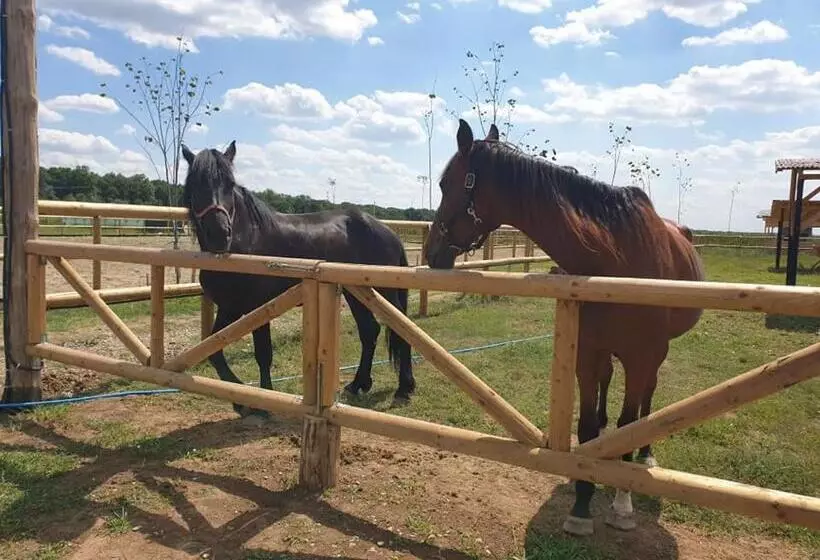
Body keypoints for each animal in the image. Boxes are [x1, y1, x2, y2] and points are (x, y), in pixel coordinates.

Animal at [180, 141, 416, 418]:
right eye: (196, 184)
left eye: (230, 184)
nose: (219, 233)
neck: (243, 243)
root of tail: (387, 231)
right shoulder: (231, 308)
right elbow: (214, 351)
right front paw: (240, 400)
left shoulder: (259, 307)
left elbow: (263, 353)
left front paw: (262, 400)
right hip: (356, 292)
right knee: (369, 331)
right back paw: (359, 384)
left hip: (384, 292)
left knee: (402, 330)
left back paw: (404, 388)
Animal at [425, 119, 705, 536]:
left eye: (446, 184)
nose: (431, 252)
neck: (614, 260)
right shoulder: (586, 354)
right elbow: (588, 425)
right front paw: (582, 504)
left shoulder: (641, 358)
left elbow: (629, 422)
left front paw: (622, 504)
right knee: (607, 389)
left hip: (654, 358)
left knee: (646, 403)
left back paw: (645, 455)